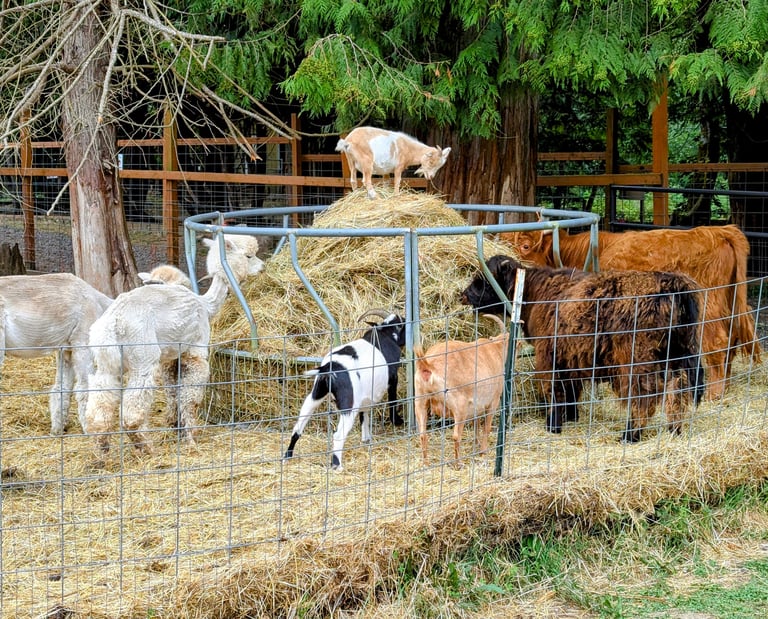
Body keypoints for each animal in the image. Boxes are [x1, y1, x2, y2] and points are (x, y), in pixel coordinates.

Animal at [0, 273, 112, 434]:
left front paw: (58, 429)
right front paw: (90, 429)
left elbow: (62, 388)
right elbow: (85, 387)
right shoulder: (82, 341)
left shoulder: (66, 348)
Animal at [84, 235, 264, 456]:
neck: (206, 305)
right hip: (142, 356)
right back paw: (146, 448)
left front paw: (174, 426)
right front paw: (191, 436)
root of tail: (114, 323)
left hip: (107, 364)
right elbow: (190, 396)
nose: (262, 267)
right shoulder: (194, 350)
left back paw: (102, 451)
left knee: (99, 406)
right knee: (132, 412)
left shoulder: (171, 358)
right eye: (249, 256)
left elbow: (172, 391)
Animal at [283, 310, 406, 471]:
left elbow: (364, 414)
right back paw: (337, 466)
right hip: (348, 403)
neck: (385, 333)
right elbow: (392, 401)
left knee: (298, 427)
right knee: (338, 434)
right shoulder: (392, 378)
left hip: (315, 395)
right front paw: (398, 421)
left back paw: (287, 457)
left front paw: (366, 439)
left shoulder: (365, 396)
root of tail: (328, 368)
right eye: (403, 323)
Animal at [413, 314, 509, 466]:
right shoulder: (493, 401)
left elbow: (476, 424)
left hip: (420, 400)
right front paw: (483, 452)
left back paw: (426, 463)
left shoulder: (477, 406)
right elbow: (486, 427)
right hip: (459, 406)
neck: (495, 349)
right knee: (456, 436)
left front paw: (476, 444)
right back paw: (458, 464)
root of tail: (427, 365)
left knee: (423, 434)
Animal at [461, 255, 705, 442]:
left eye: (483, 280)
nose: (463, 295)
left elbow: (555, 391)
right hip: (677, 355)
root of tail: (671, 284)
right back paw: (674, 431)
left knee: (644, 396)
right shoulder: (570, 358)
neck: (534, 292)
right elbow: (571, 390)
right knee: (678, 390)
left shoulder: (548, 356)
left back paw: (630, 435)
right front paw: (571, 417)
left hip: (638, 360)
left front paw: (553, 426)